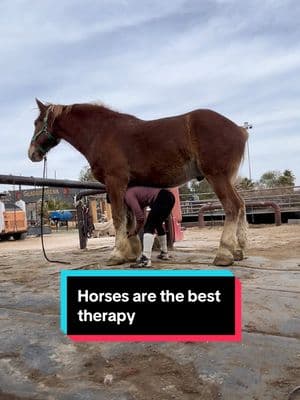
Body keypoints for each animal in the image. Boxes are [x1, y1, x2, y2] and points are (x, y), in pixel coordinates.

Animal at [28, 98, 248, 266]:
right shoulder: (128, 186)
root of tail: (240, 130)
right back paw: (239, 250)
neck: (102, 132)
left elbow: (119, 218)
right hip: (227, 179)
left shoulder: (115, 182)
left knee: (232, 207)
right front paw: (132, 252)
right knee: (242, 205)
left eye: (37, 122)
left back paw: (224, 254)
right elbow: (130, 220)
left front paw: (117, 254)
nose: (32, 154)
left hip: (217, 177)